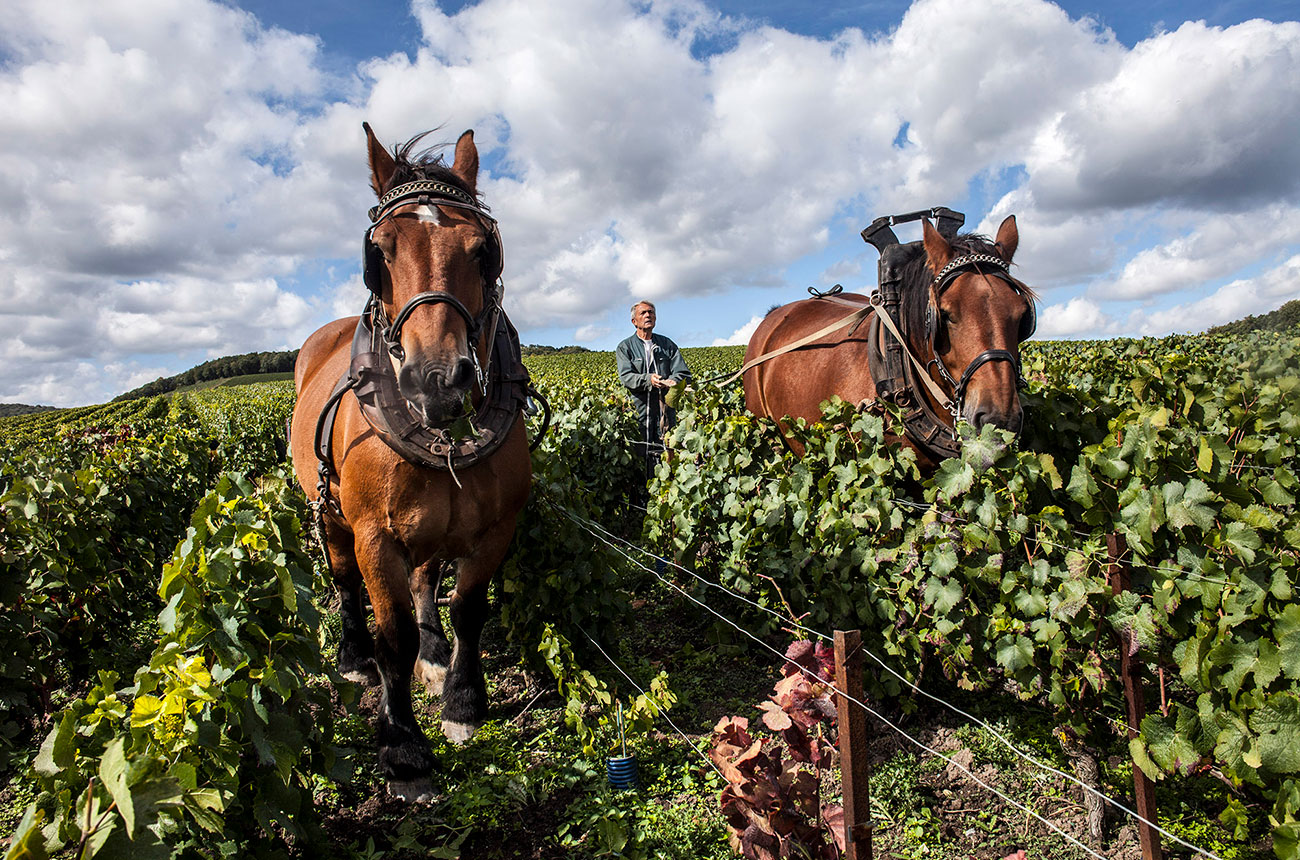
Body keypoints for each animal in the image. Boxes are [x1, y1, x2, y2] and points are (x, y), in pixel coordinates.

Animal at [290, 124, 532, 800]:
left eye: (482, 250)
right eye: (380, 252)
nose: (438, 380)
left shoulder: (497, 526)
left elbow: (468, 610)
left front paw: (462, 703)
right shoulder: (374, 534)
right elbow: (390, 632)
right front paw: (401, 744)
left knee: (427, 580)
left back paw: (434, 653)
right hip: (328, 512)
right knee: (345, 583)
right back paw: (353, 659)